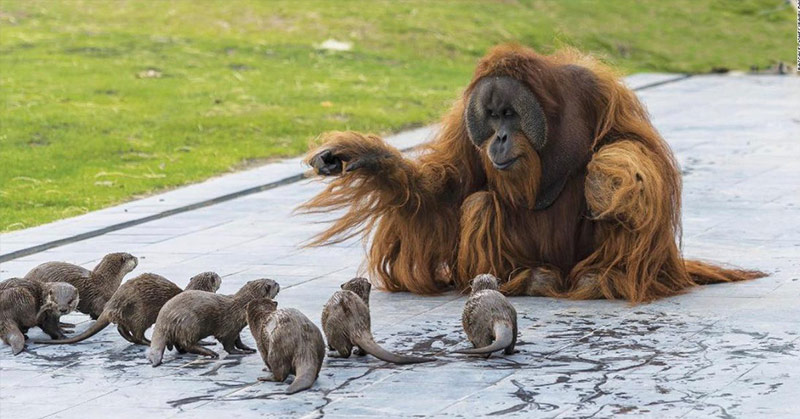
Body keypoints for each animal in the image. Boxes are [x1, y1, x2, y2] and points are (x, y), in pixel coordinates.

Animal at [35, 271, 222, 346]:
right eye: (216, 276)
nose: (219, 275)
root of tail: (113, 303)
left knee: (122, 328)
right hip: (141, 313)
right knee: (137, 333)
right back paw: (146, 342)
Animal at [147, 278, 280, 366]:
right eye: (274, 283)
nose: (278, 283)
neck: (241, 308)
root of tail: (163, 319)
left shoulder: (236, 328)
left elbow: (238, 340)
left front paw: (248, 348)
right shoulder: (228, 328)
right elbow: (229, 345)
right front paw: (241, 352)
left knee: (179, 344)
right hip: (191, 324)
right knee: (187, 343)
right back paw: (210, 352)